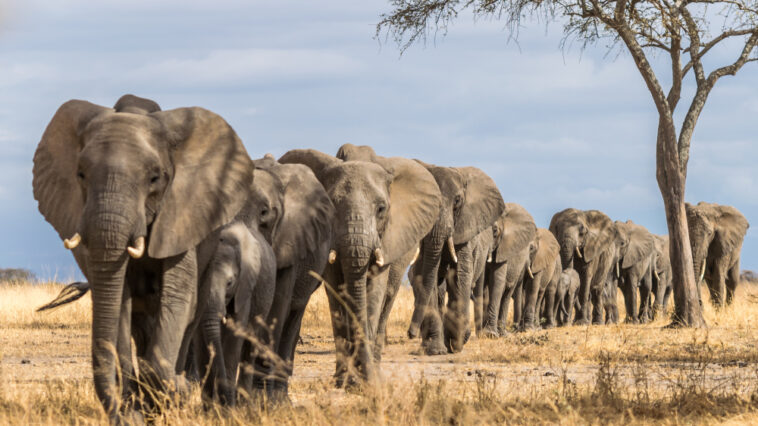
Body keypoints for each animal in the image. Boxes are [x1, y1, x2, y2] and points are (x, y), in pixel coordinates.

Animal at [32, 95, 254, 418]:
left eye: (154, 178)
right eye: (80, 175)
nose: (118, 415)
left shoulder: (181, 215)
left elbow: (178, 297)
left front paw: (174, 392)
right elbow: (118, 302)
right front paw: (136, 409)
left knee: (191, 314)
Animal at [194, 221, 278, 404]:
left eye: (229, 283)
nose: (222, 400)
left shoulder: (245, 287)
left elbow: (235, 335)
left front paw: (227, 407)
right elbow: (201, 341)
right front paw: (208, 406)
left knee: (249, 345)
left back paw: (243, 402)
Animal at [280, 148, 440, 388]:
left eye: (381, 209)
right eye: (330, 206)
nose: (364, 381)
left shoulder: (388, 239)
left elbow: (374, 292)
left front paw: (366, 380)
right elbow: (337, 293)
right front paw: (345, 381)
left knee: (387, 299)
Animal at [410, 161, 504, 354]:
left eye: (458, 201)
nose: (411, 333)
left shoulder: (465, 229)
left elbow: (460, 275)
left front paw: (456, 342)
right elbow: (425, 277)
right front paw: (436, 350)